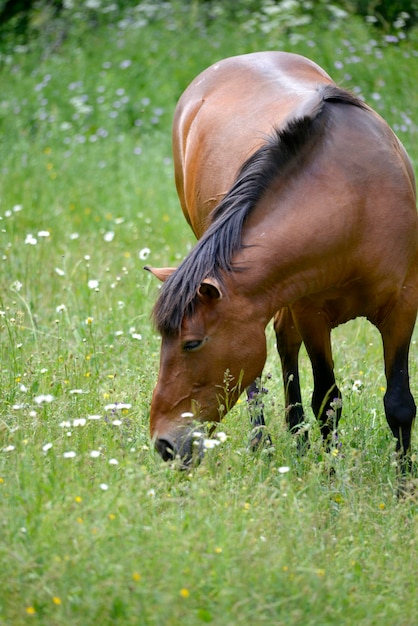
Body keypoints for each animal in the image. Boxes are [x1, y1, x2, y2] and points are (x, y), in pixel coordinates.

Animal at [146, 51, 414, 466]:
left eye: (191, 343)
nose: (164, 444)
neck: (355, 204)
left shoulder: (402, 308)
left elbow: (399, 403)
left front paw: (402, 480)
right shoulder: (312, 314)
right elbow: (327, 402)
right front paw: (331, 475)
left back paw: (297, 437)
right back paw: (266, 441)